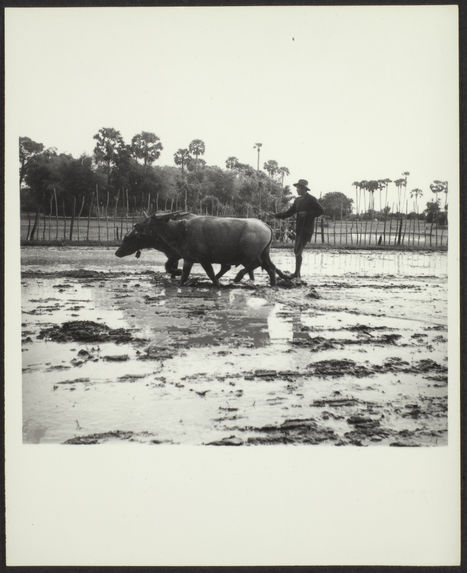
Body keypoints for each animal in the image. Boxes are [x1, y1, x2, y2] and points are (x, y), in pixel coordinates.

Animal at [146, 212, 286, 286]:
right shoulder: (188, 259)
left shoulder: (204, 259)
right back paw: (272, 284)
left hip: (250, 254)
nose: (142, 225)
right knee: (270, 268)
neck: (182, 230)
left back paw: (238, 277)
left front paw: (217, 284)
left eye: (153, 219)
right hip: (265, 253)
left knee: (256, 264)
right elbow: (184, 275)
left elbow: (211, 273)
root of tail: (265, 225)